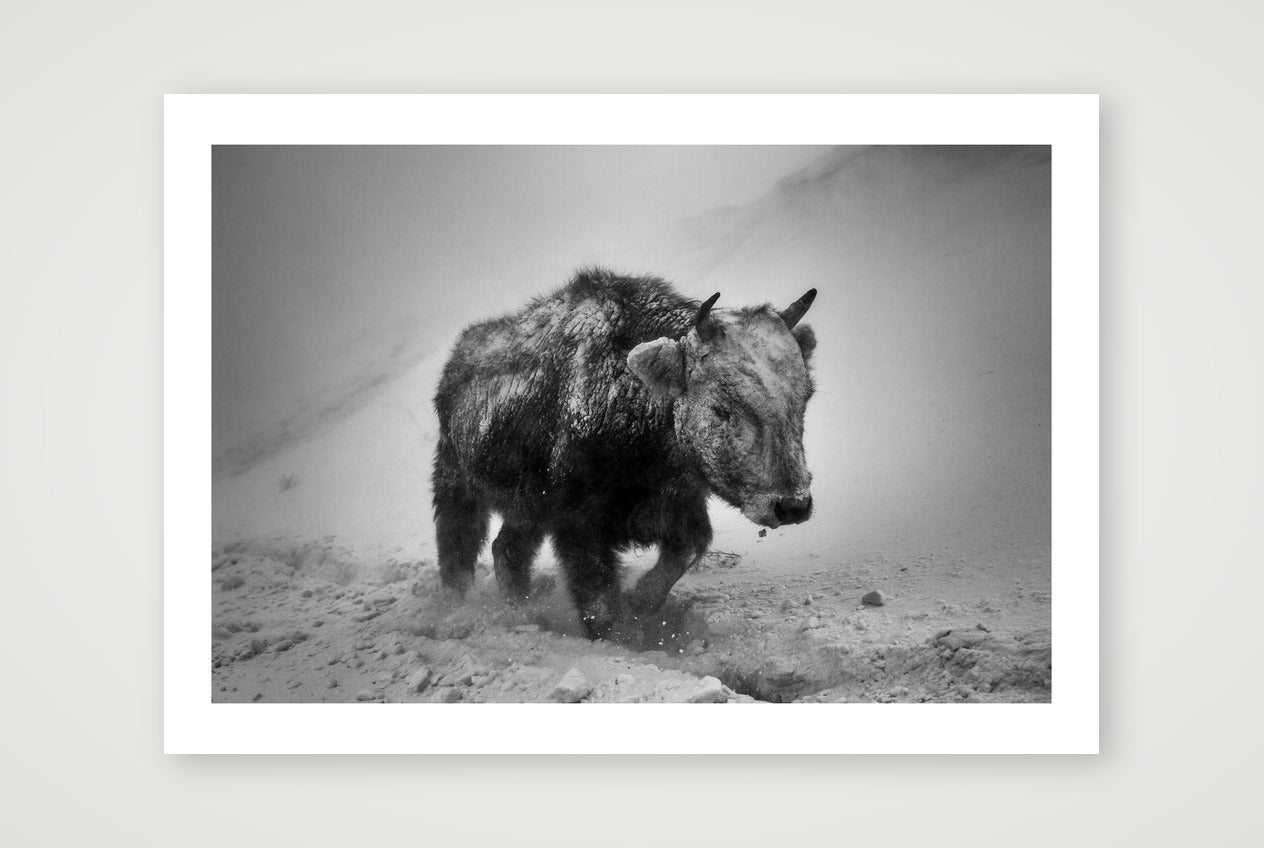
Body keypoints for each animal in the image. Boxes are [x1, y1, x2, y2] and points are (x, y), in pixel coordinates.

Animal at [432, 268, 817, 638]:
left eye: (804, 398)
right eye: (721, 408)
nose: (792, 505)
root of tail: (455, 364)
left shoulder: (679, 504)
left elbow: (689, 547)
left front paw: (640, 602)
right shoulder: (579, 527)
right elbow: (599, 602)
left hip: (526, 510)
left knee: (507, 550)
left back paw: (521, 612)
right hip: (456, 484)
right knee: (458, 550)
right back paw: (457, 612)